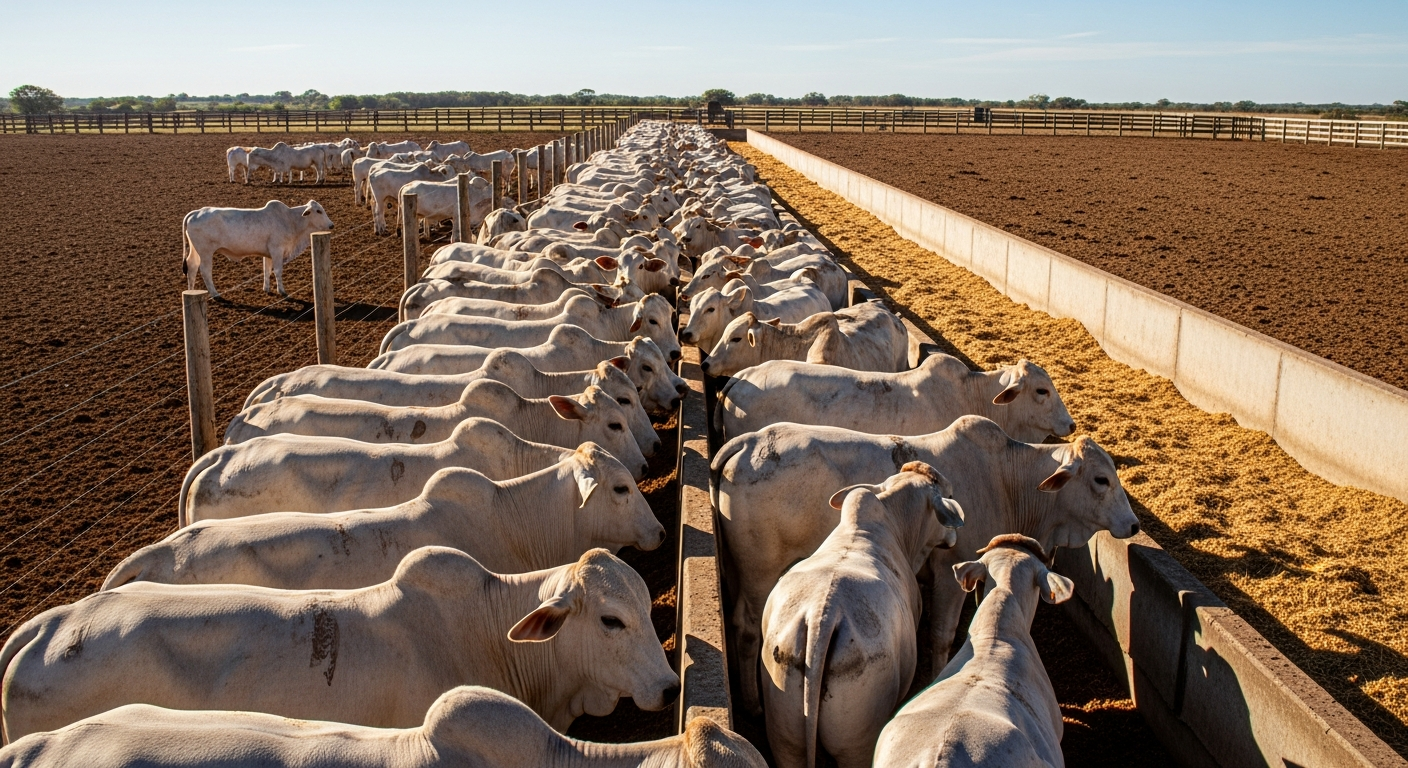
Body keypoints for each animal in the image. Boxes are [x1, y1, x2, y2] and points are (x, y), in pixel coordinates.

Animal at [181, 200, 333, 298]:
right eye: (318, 211)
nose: (331, 225)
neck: (290, 220)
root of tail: (196, 212)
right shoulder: (277, 250)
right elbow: (278, 271)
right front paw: (282, 291)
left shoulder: (268, 253)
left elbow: (267, 270)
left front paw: (266, 289)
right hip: (206, 252)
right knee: (205, 271)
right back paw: (215, 294)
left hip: (196, 251)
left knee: (192, 266)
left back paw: (191, 291)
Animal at [710, 417, 1140, 712]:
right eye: (1101, 480)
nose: (1134, 524)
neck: (1006, 480)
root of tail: (748, 441)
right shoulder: (951, 570)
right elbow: (943, 635)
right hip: (760, 570)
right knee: (746, 629)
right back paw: (752, 702)